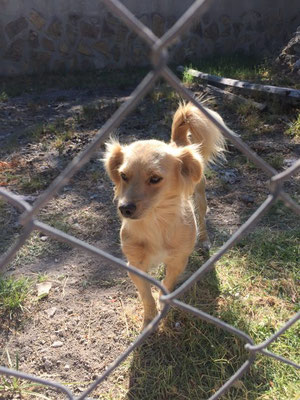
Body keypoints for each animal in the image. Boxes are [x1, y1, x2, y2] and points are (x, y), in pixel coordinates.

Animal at [103, 101, 225, 328]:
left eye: (155, 178)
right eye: (123, 175)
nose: (124, 208)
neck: (155, 222)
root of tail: (176, 143)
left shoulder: (178, 261)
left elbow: (166, 284)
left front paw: (162, 304)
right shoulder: (134, 265)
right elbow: (145, 294)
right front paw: (149, 318)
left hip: (200, 197)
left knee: (202, 218)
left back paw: (204, 240)